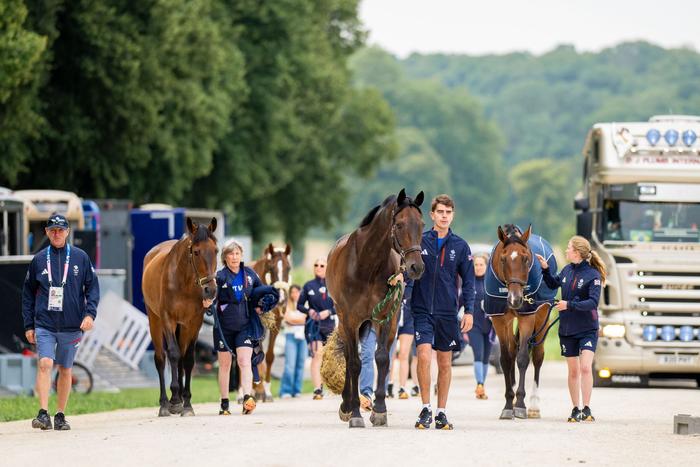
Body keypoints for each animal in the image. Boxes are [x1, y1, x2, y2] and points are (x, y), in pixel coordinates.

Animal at [143, 218, 217, 418]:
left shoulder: (193, 323)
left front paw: (187, 404)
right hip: (155, 320)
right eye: (196, 252)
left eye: (216, 250)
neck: (184, 282)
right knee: (161, 358)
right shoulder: (168, 320)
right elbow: (174, 354)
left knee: (182, 360)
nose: (210, 290)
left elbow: (189, 359)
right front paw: (175, 401)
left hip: (182, 328)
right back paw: (164, 403)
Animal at [250, 243, 292, 400]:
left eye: (288, 268)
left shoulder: (276, 324)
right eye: (271, 268)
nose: (281, 299)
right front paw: (258, 390)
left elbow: (269, 356)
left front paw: (266, 391)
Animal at [324, 189, 426, 428]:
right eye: (399, 224)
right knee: (348, 355)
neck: (366, 265)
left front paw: (379, 410)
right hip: (344, 320)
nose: (416, 267)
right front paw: (355, 413)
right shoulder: (350, 319)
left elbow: (381, 358)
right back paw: (346, 405)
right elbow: (354, 363)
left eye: (422, 224)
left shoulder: (385, 316)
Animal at [486, 225, 556, 422]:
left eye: (525, 258)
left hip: (542, 315)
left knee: (538, 356)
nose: (515, 300)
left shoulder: (527, 317)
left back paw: (534, 405)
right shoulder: (499, 320)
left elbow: (523, 358)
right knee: (512, 351)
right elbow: (506, 359)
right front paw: (508, 405)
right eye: (503, 259)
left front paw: (520, 405)